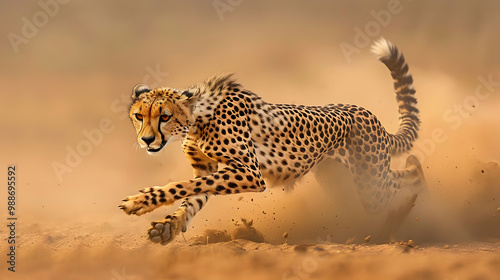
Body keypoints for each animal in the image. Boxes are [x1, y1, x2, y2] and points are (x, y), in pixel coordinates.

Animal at [118, 38, 426, 244]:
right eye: (138, 116)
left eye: (164, 116)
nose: (146, 140)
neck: (195, 119)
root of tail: (369, 115)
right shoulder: (208, 169)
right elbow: (192, 194)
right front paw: (168, 227)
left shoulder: (250, 173)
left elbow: (183, 186)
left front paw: (141, 201)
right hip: (338, 181)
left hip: (370, 183)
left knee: (406, 176)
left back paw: (412, 194)